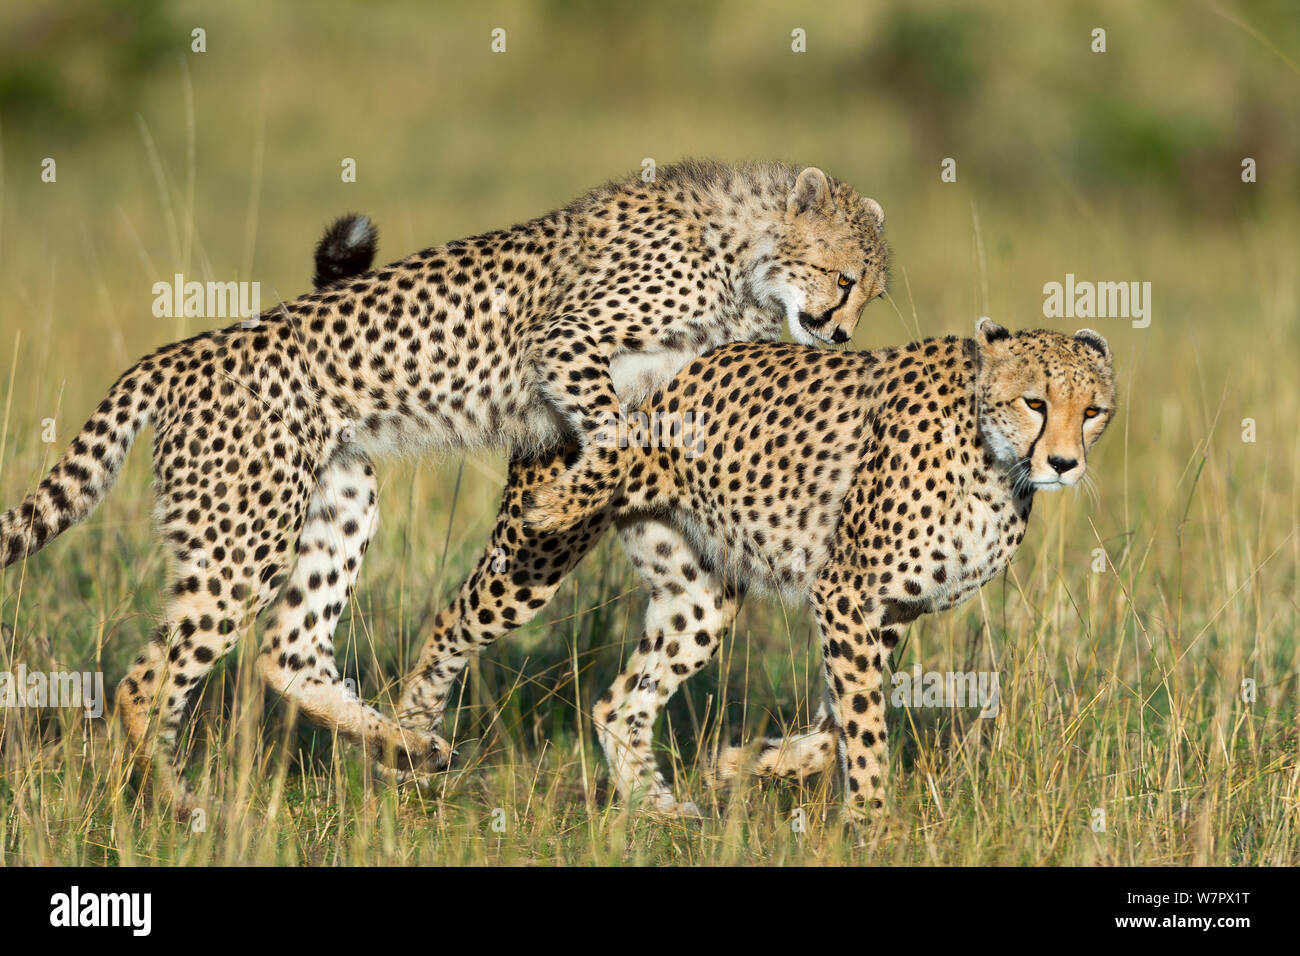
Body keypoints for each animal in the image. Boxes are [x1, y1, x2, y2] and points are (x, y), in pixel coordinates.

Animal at [0, 162, 889, 806]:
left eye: (873, 294)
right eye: (845, 278)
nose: (842, 334)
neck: (742, 252)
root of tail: (172, 354)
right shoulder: (567, 342)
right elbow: (611, 427)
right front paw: (572, 491)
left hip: (340, 502)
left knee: (290, 650)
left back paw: (409, 744)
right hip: (242, 544)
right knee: (144, 685)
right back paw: (181, 806)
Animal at [395, 321, 1118, 816]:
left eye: (1093, 411)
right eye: (1034, 402)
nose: (1064, 464)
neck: (996, 463)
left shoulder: (887, 610)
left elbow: (841, 720)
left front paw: (751, 764)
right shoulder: (846, 591)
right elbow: (862, 719)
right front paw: (872, 820)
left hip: (700, 598)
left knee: (618, 703)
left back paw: (658, 812)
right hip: (534, 555)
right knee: (451, 623)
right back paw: (406, 748)